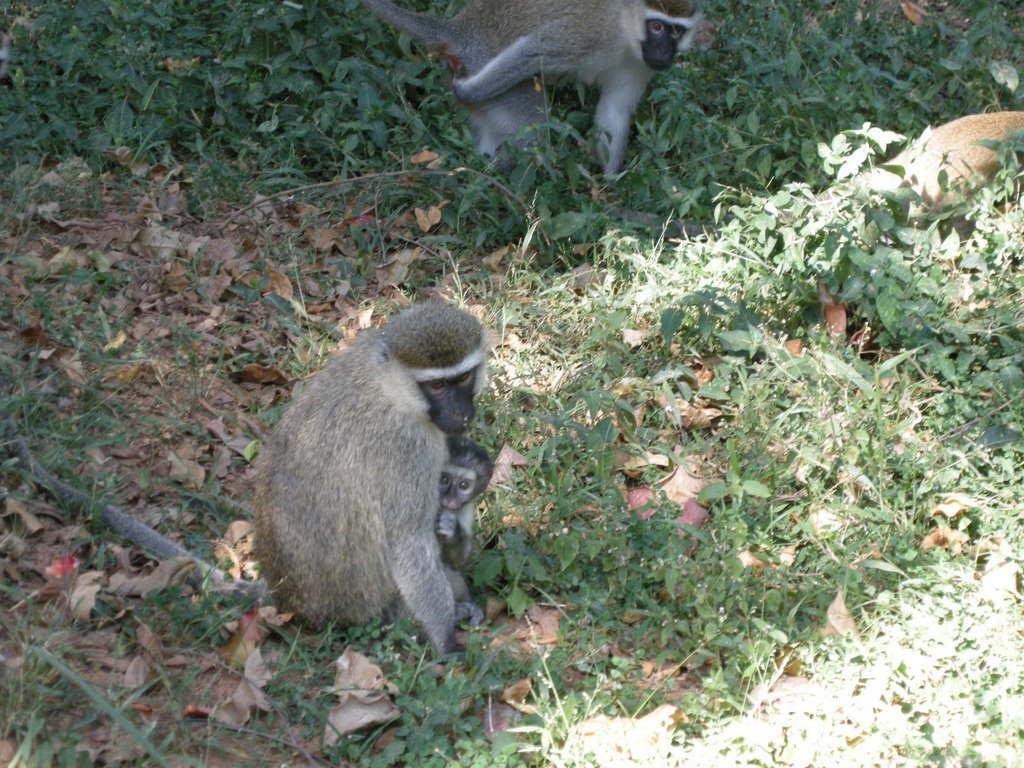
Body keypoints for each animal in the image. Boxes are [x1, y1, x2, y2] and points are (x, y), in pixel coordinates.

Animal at [249, 301, 485, 655]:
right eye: (437, 386)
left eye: (464, 377)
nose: (461, 414)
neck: (390, 386)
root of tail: (289, 603)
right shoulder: (410, 446)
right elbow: (408, 544)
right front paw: (447, 641)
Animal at [358, 0, 704, 173]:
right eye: (656, 26)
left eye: (675, 32)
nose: (664, 54)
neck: (626, 32)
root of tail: (461, 28)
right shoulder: (589, 32)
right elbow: (535, 49)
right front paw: (466, 90)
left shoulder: (638, 66)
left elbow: (614, 112)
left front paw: (609, 184)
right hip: (484, 62)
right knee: (532, 131)